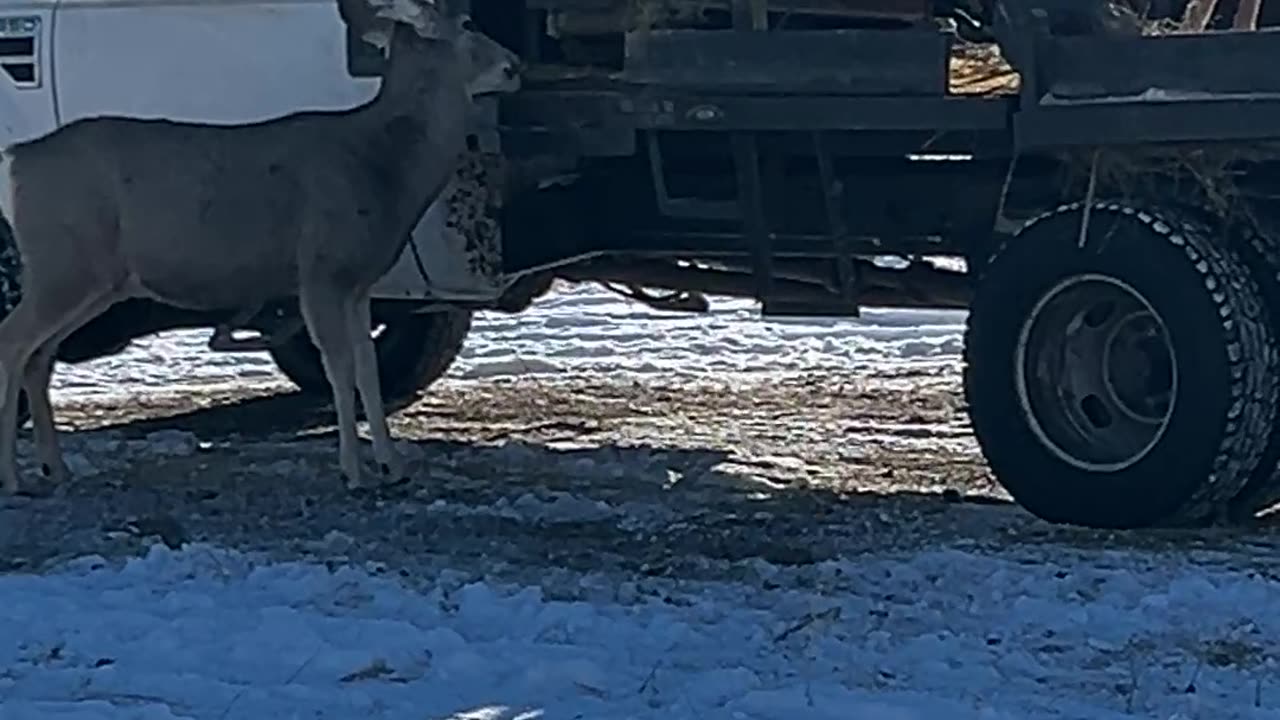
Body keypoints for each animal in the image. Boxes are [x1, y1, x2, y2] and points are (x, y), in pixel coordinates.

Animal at [0, 0, 524, 491]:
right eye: (467, 25)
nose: (514, 65)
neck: (380, 163)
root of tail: (17, 159)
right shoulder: (320, 269)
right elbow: (340, 368)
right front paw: (355, 471)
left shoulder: (357, 282)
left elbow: (368, 370)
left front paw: (392, 465)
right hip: (64, 262)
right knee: (13, 340)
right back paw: (13, 476)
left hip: (89, 277)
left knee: (40, 355)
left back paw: (55, 467)